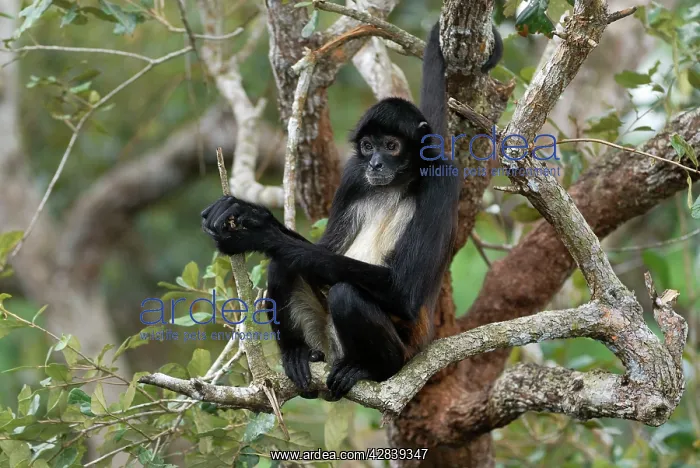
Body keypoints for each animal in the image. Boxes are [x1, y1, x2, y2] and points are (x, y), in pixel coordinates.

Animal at [201, 21, 503, 399]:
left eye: (391, 146)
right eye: (368, 146)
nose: (375, 163)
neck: (397, 183)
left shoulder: (441, 182)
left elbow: (404, 290)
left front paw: (262, 232)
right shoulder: (353, 177)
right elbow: (321, 250)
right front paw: (248, 215)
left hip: (404, 347)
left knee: (345, 294)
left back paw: (372, 368)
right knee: (284, 266)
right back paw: (298, 353)